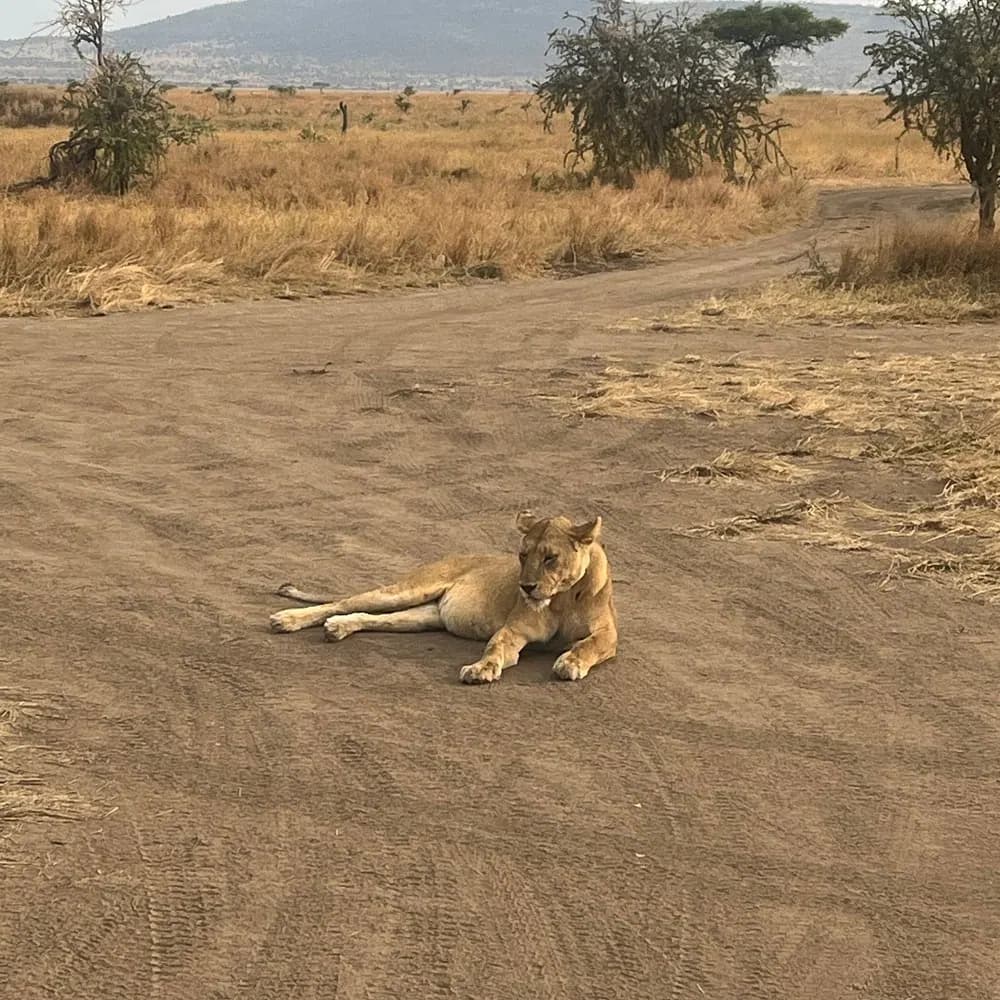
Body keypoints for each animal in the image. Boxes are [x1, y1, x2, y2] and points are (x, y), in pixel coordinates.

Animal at [268, 511, 618, 684]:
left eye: (550, 558)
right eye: (523, 555)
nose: (526, 587)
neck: (562, 598)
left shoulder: (608, 634)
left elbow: (590, 644)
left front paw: (571, 662)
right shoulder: (514, 630)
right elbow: (496, 646)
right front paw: (481, 669)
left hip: (422, 616)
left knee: (372, 618)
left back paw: (338, 628)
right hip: (408, 589)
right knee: (345, 602)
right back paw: (287, 619)